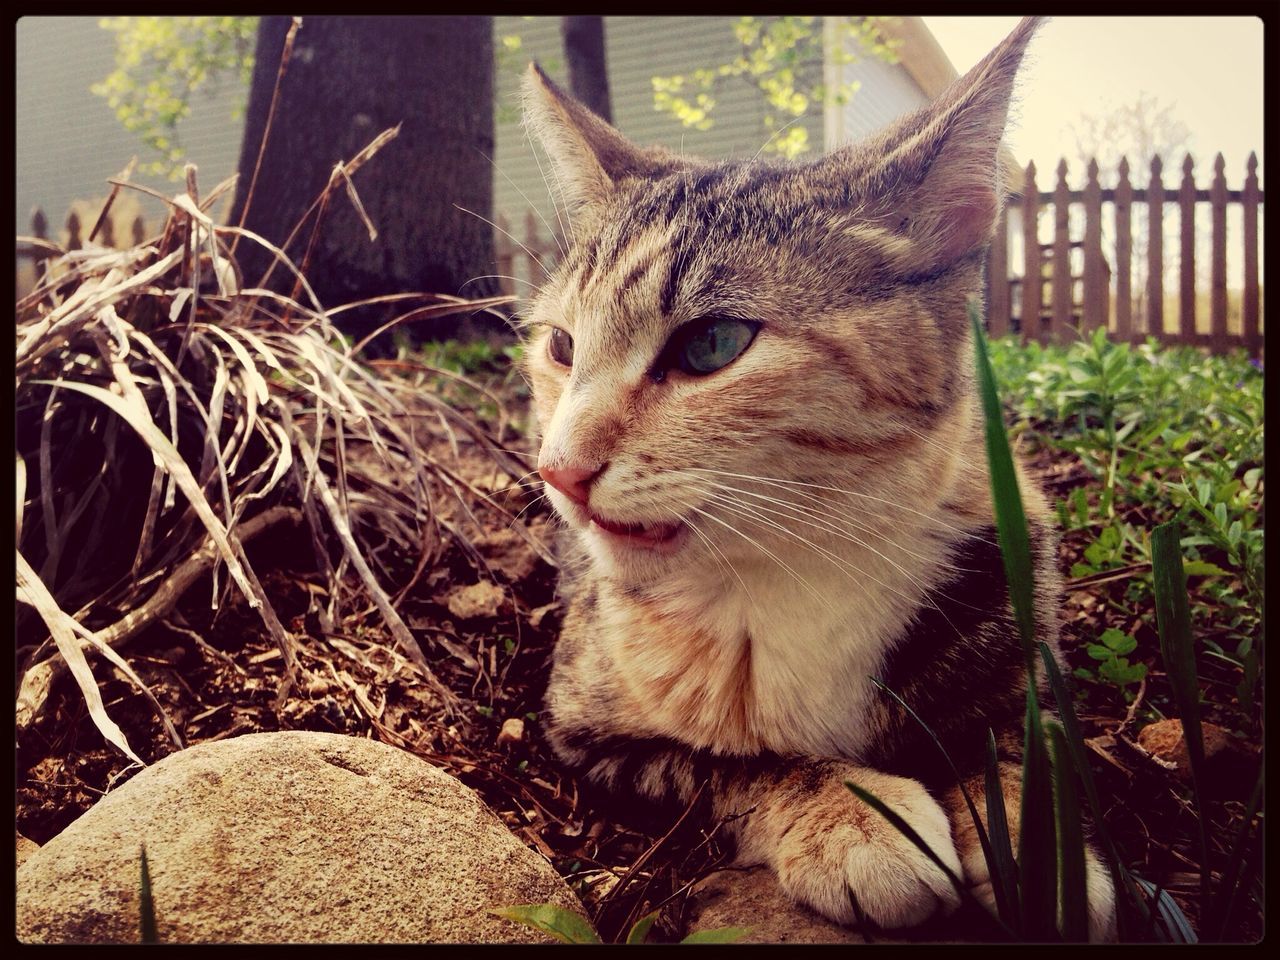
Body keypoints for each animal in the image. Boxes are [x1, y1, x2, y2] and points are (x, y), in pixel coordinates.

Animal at [514, 18, 1116, 942]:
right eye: (560, 346)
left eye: (712, 344)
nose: (560, 469)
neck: (795, 572)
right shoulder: (584, 729)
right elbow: (724, 767)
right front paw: (853, 813)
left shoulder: (1019, 603)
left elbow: (1029, 745)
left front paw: (1045, 857)